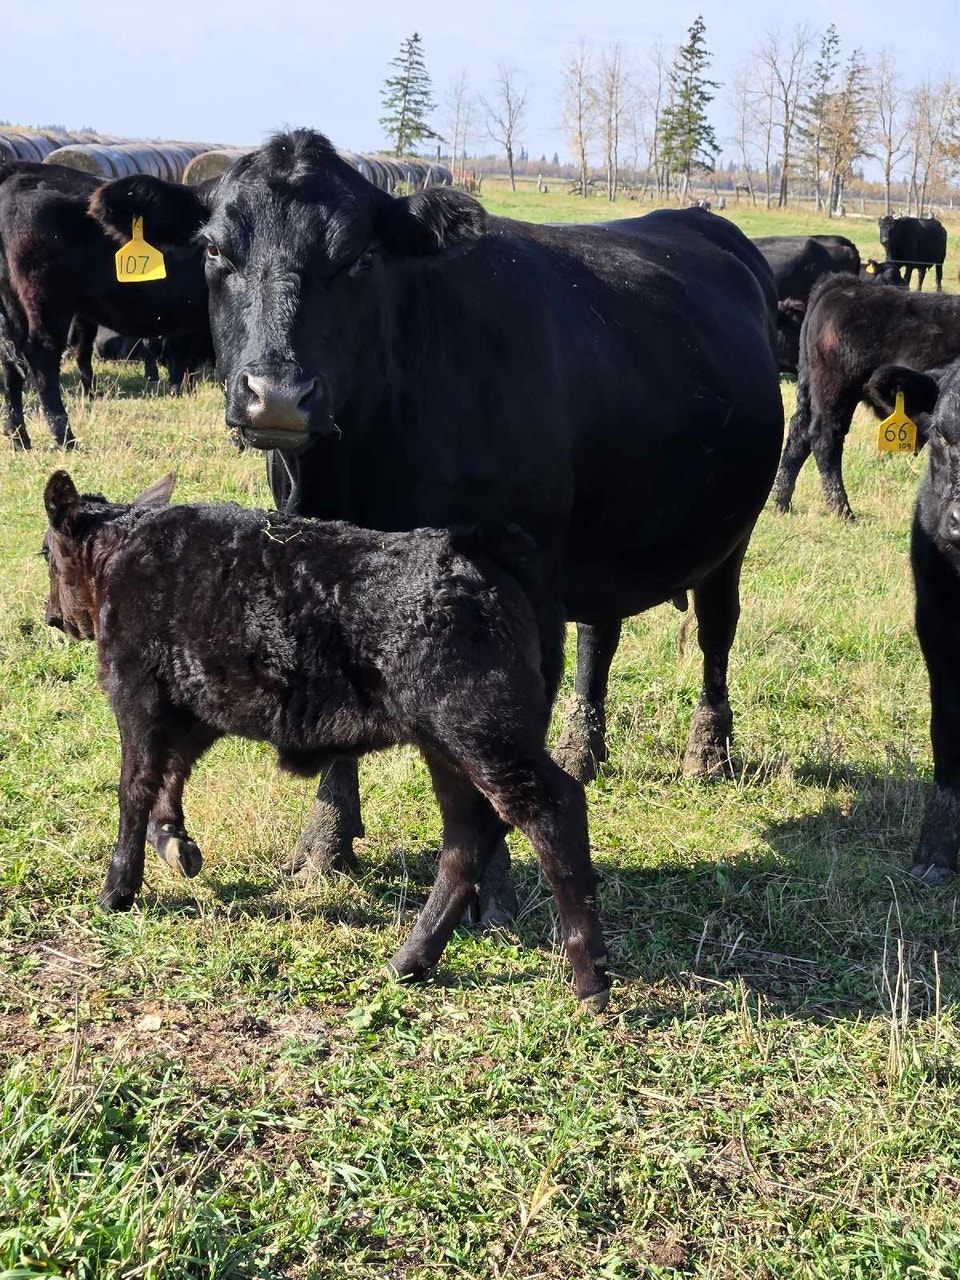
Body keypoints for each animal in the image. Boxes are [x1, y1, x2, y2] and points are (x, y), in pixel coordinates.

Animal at [0, 160, 212, 449]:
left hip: (13, 304)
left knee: (12, 364)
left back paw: (19, 439)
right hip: (47, 301)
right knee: (41, 357)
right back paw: (65, 438)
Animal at [41, 469, 612, 1009]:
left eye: (46, 553)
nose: (53, 618)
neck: (124, 549)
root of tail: (484, 545)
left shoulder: (136, 691)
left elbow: (134, 786)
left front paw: (117, 888)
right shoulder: (195, 706)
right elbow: (171, 772)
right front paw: (173, 842)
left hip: (483, 732)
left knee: (552, 810)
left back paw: (590, 976)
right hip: (448, 746)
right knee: (467, 837)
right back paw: (408, 961)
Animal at [88, 129, 784, 915]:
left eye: (359, 258)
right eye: (214, 250)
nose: (279, 396)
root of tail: (704, 221)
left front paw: (495, 881)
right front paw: (325, 844)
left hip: (732, 532)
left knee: (716, 630)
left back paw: (708, 753)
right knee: (598, 635)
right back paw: (584, 750)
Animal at [773, 274, 960, 520]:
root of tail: (842, 284)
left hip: (810, 390)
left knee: (798, 433)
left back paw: (781, 502)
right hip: (836, 391)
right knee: (824, 439)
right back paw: (842, 511)